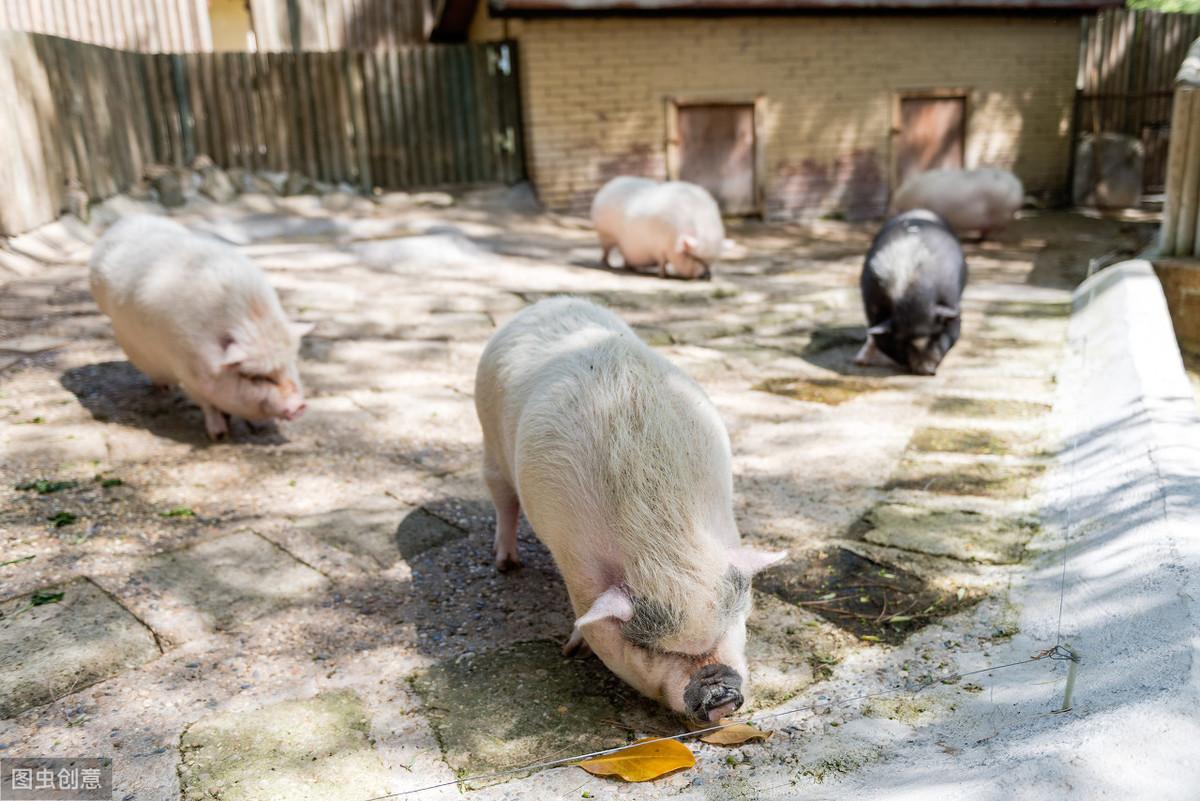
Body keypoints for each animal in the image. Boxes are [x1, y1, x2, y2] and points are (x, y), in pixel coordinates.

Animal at [90, 215, 312, 441]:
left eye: (289, 364)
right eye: (255, 377)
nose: (299, 406)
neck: (250, 318)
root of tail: (128, 220)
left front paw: (257, 427)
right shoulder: (188, 374)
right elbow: (208, 405)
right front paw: (219, 435)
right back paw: (164, 389)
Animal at [472, 297, 782, 724]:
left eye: (730, 625)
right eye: (651, 648)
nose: (719, 695)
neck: (664, 541)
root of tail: (548, 303)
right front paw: (573, 650)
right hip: (488, 438)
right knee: (502, 497)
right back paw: (506, 564)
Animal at [588, 176, 720, 280]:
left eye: (710, 261)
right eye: (694, 257)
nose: (707, 276)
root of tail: (607, 186)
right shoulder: (660, 247)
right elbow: (662, 261)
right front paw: (663, 276)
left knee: (624, 254)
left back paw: (629, 267)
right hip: (605, 234)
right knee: (606, 250)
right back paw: (607, 265)